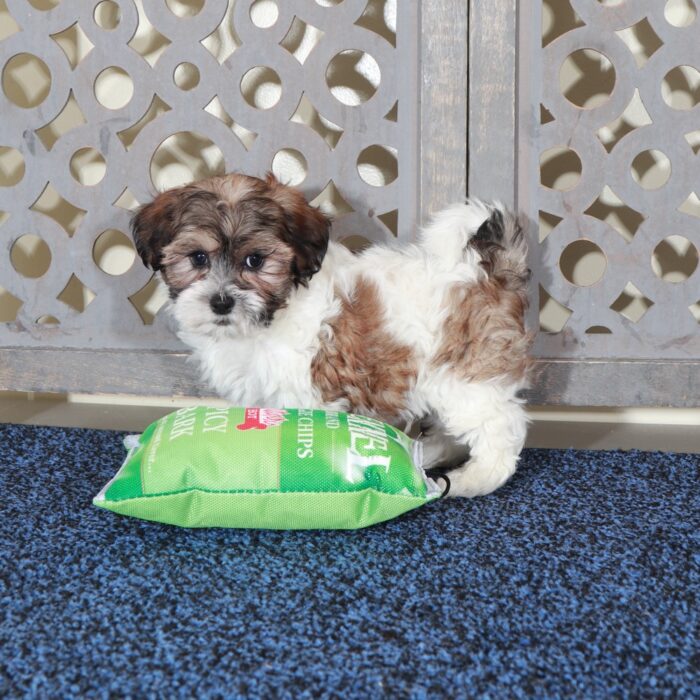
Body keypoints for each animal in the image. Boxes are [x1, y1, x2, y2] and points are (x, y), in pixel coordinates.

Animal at [133, 172, 532, 494]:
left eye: (255, 261)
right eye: (198, 258)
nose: (221, 302)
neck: (272, 316)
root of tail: (487, 270)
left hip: (466, 374)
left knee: (499, 427)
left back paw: (474, 479)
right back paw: (424, 452)